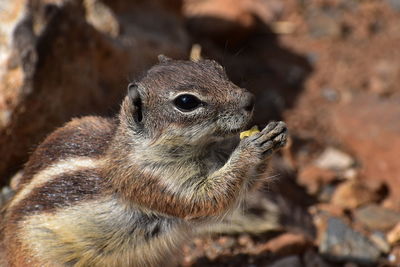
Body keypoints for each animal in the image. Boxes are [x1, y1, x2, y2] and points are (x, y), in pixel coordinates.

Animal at [0, 57, 288, 267]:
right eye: (186, 101)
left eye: (217, 67)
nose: (250, 100)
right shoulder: (152, 181)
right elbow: (207, 199)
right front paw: (249, 149)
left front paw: (274, 133)